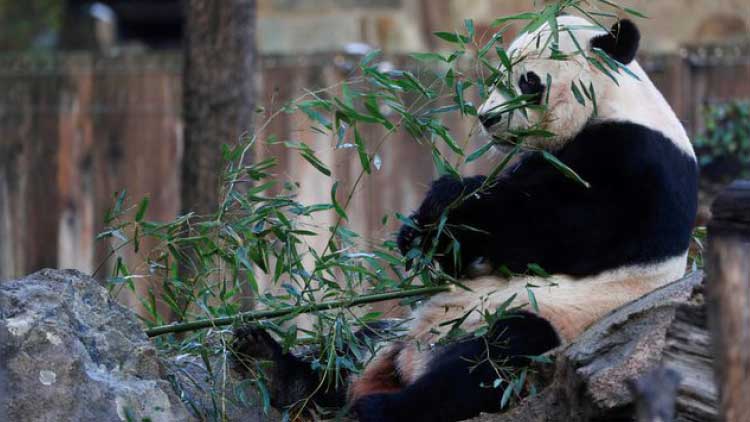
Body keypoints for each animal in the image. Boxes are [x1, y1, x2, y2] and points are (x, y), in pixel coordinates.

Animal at [233, 15, 698, 422]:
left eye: (527, 80)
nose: (487, 118)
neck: (614, 103)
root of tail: (409, 361)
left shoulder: (638, 164)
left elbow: (553, 228)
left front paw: (447, 198)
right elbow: (469, 251)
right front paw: (421, 232)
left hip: (538, 323)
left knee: (489, 362)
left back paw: (380, 409)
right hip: (396, 329)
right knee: (350, 347)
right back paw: (278, 369)